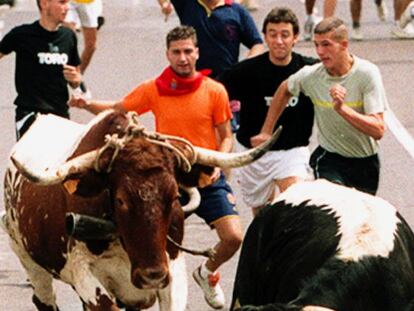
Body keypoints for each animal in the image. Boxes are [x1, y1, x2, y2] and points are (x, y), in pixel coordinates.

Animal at [1, 111, 280, 311]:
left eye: (173, 196)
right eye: (121, 200)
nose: (151, 275)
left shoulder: (172, 269)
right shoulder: (85, 276)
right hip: (29, 260)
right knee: (43, 298)